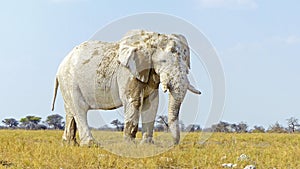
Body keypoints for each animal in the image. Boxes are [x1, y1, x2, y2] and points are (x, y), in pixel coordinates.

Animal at [51, 29, 202, 146]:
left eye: (186, 59)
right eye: (164, 61)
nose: (173, 144)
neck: (150, 39)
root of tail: (59, 67)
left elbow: (152, 104)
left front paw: (146, 145)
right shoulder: (127, 72)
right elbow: (133, 101)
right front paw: (130, 145)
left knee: (70, 111)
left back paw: (69, 144)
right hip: (70, 81)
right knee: (79, 109)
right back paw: (90, 145)